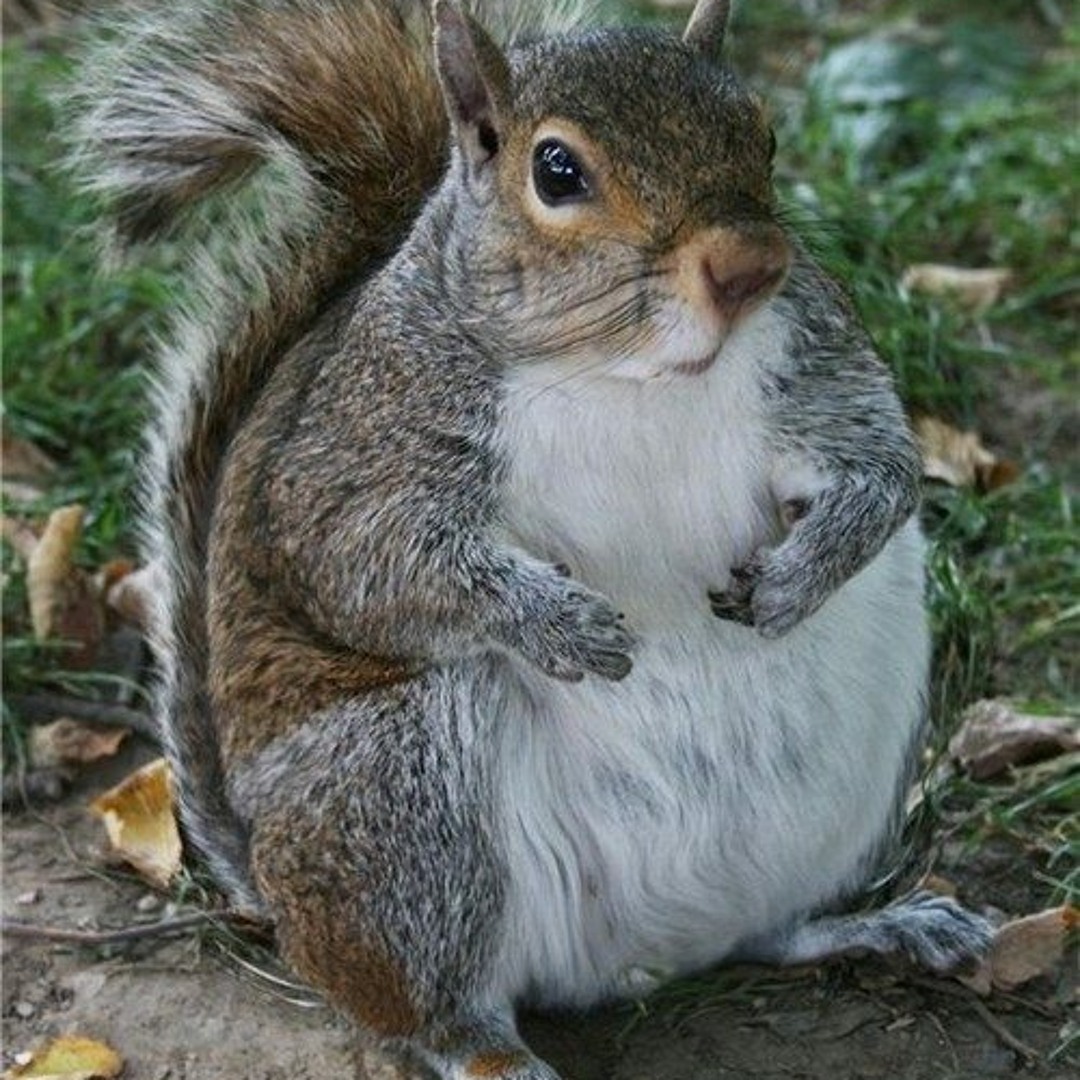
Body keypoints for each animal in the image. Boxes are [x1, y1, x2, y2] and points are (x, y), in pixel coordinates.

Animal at [70, 0, 992, 1076]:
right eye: (557, 172)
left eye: (762, 132)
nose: (751, 266)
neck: (630, 365)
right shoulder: (356, 449)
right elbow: (357, 558)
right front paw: (558, 624)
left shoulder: (819, 362)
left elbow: (884, 464)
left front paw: (801, 574)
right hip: (398, 794)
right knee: (428, 1007)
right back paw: (494, 1050)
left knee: (769, 933)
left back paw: (886, 926)